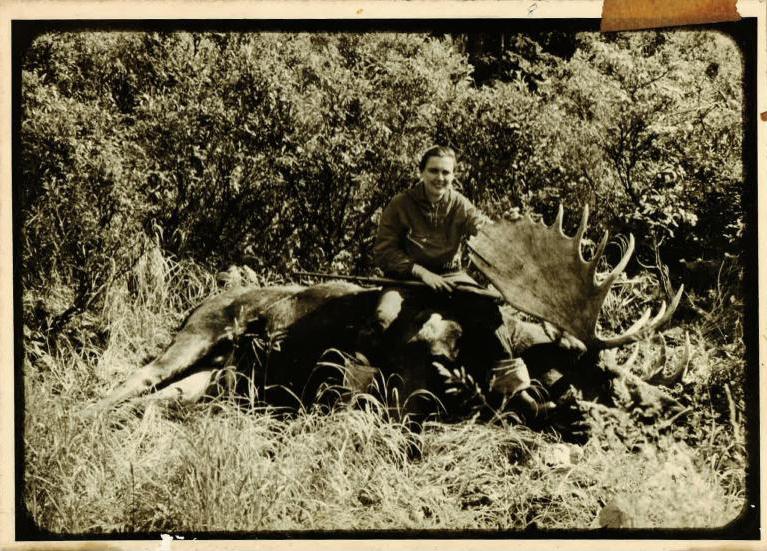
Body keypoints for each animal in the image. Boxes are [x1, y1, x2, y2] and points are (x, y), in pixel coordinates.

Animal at [96, 207, 688, 444]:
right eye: (608, 373)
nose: (669, 404)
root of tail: (196, 305)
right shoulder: (395, 382)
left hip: (208, 381)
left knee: (158, 401)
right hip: (193, 338)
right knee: (127, 383)